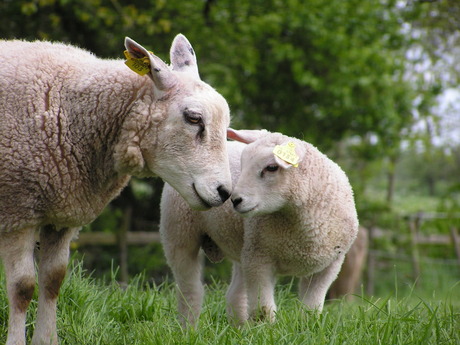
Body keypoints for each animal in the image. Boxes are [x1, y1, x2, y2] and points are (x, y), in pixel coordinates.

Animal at [0, 34, 230, 344]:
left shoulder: (61, 216)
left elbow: (53, 280)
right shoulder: (19, 210)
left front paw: (47, 340)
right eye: (193, 118)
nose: (224, 192)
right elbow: (23, 287)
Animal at [160, 128, 358, 326]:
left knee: (235, 295)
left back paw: (239, 328)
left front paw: (306, 327)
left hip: (244, 245)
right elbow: (263, 311)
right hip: (179, 230)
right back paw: (188, 327)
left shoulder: (329, 266)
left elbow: (311, 310)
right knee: (190, 291)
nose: (235, 200)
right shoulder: (259, 260)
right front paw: (267, 330)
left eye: (271, 167)